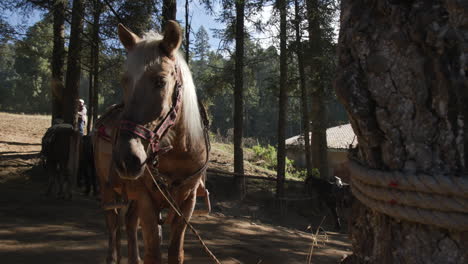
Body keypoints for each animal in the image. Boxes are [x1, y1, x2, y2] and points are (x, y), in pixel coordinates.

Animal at [93, 21, 210, 264]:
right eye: (124, 81)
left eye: (161, 81)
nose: (127, 158)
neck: (179, 153)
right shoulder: (146, 200)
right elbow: (153, 253)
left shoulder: (187, 203)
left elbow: (175, 253)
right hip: (108, 189)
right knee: (113, 224)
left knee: (128, 223)